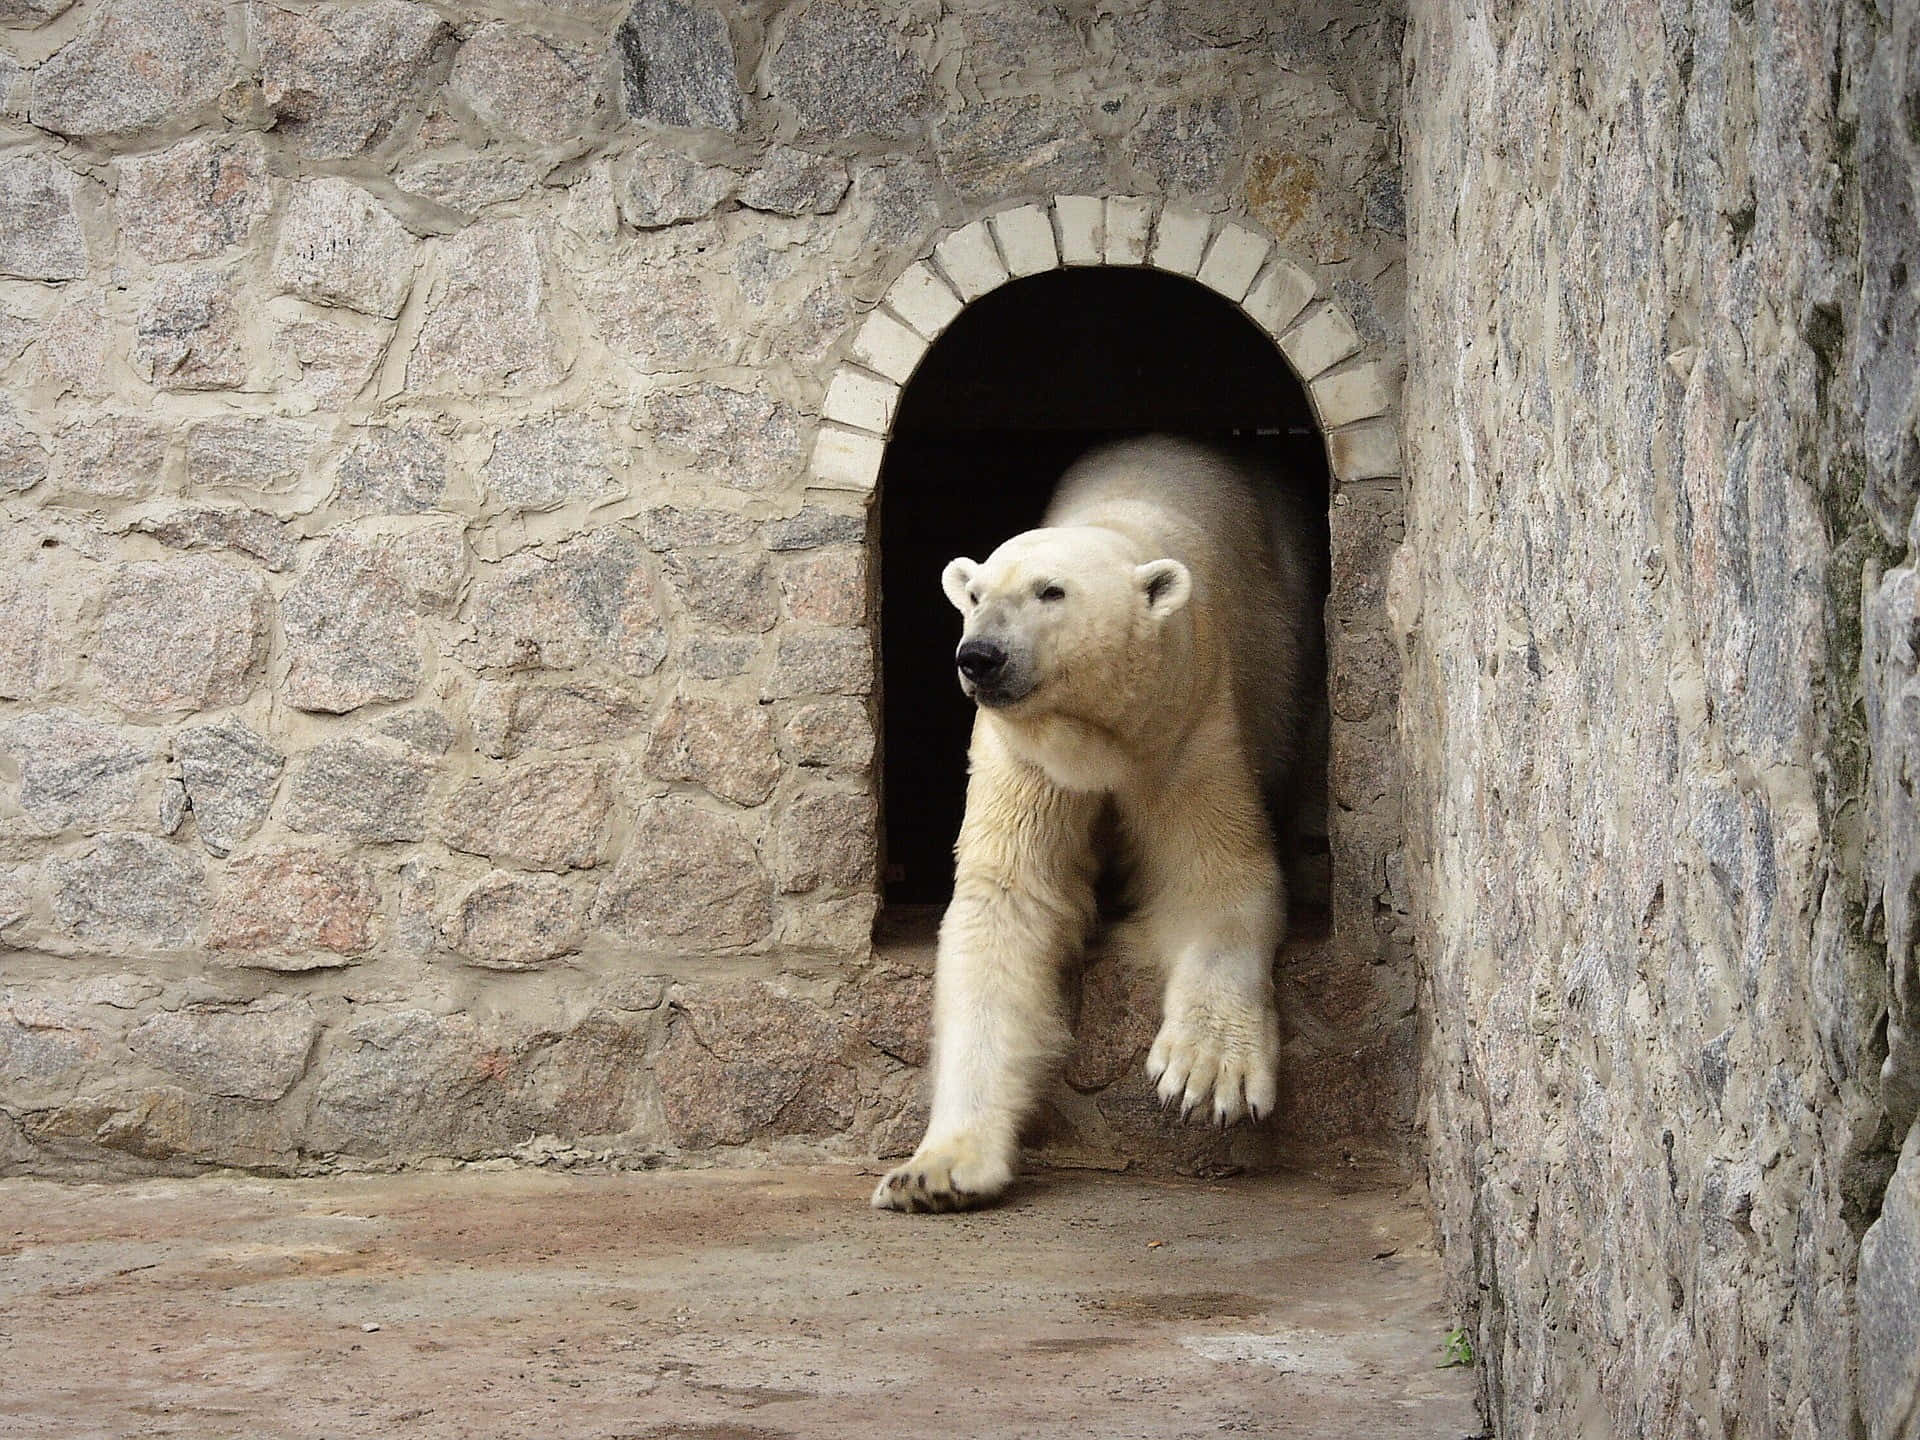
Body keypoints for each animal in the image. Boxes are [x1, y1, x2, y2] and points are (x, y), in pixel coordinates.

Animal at [872, 434, 1323, 1213]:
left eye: (1050, 591)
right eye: (975, 595)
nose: (979, 656)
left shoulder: (1188, 722)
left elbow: (1217, 877)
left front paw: (1204, 1074)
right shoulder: (1024, 759)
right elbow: (1007, 905)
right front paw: (935, 1171)